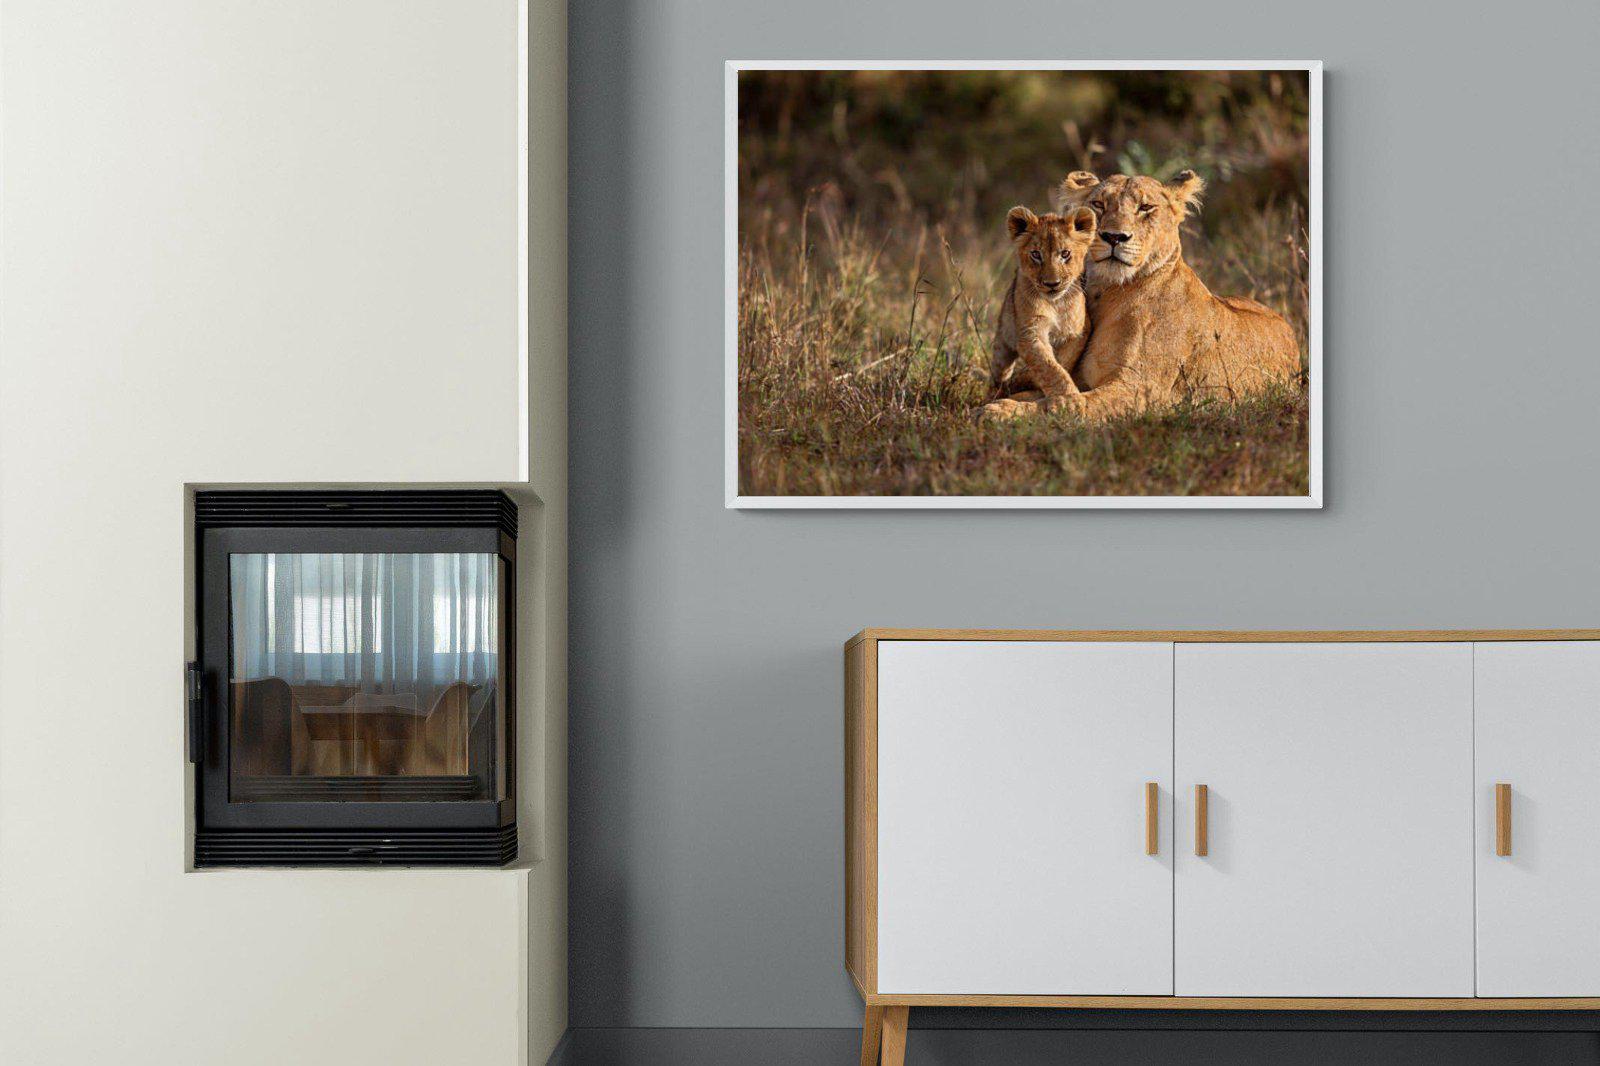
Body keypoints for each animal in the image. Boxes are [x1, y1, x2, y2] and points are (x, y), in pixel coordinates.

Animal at [987, 205, 1097, 411]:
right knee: (998, 375)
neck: (1056, 304)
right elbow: (1048, 366)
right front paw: (1068, 399)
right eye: (1036, 254)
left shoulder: (1079, 331)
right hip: (1002, 345)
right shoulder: (1030, 332)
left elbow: (1062, 360)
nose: (1052, 284)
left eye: (1065, 254)